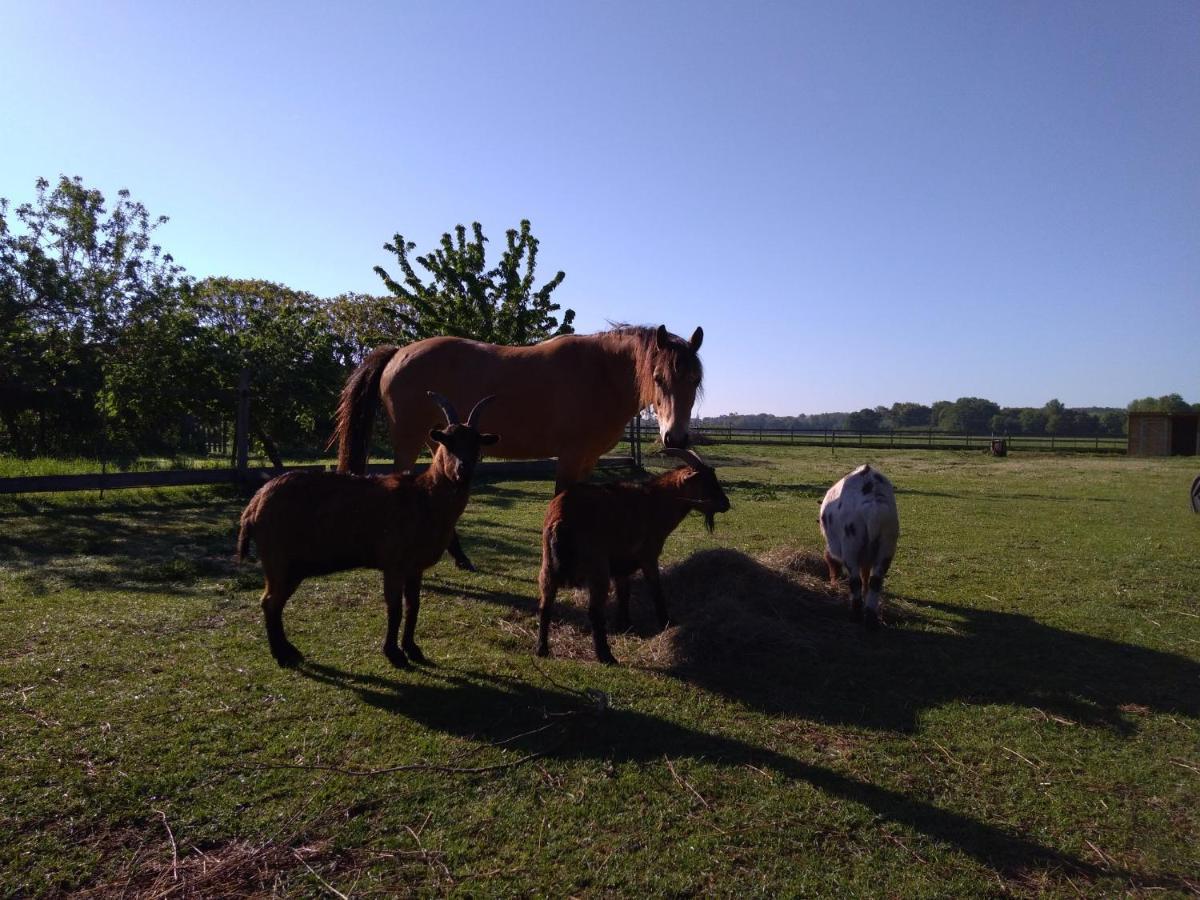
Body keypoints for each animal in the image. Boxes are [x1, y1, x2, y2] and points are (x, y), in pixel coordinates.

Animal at [234, 393, 496, 672]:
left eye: (477, 443)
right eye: (448, 441)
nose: (463, 470)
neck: (424, 497)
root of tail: (253, 506)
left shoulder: (414, 567)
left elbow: (413, 606)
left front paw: (414, 650)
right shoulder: (394, 564)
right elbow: (395, 609)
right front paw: (394, 654)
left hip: (292, 568)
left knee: (274, 602)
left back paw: (290, 651)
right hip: (279, 561)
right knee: (270, 601)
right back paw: (282, 655)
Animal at [331, 328, 700, 571]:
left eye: (695, 379)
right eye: (658, 377)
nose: (675, 438)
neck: (600, 374)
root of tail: (398, 353)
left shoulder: (588, 459)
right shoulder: (570, 456)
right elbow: (561, 500)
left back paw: (461, 558)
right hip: (409, 440)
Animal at [537, 448, 729, 667]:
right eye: (704, 481)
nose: (726, 504)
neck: (653, 502)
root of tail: (561, 519)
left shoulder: (621, 567)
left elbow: (624, 594)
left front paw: (625, 625)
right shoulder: (648, 557)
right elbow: (656, 589)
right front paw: (666, 622)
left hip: (547, 567)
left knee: (545, 604)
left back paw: (542, 649)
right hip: (597, 568)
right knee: (594, 611)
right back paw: (606, 656)